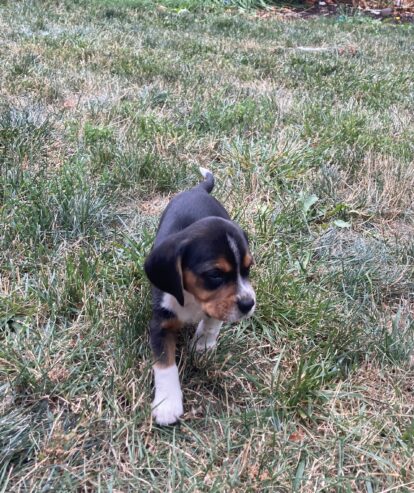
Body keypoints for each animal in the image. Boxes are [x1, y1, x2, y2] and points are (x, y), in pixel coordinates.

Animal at [146, 167, 256, 424]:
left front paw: (203, 345)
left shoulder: (217, 306)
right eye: (215, 274)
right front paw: (167, 404)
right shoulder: (160, 324)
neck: (192, 298)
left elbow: (212, 321)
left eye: (247, 269)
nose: (249, 304)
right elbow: (164, 364)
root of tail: (197, 190)